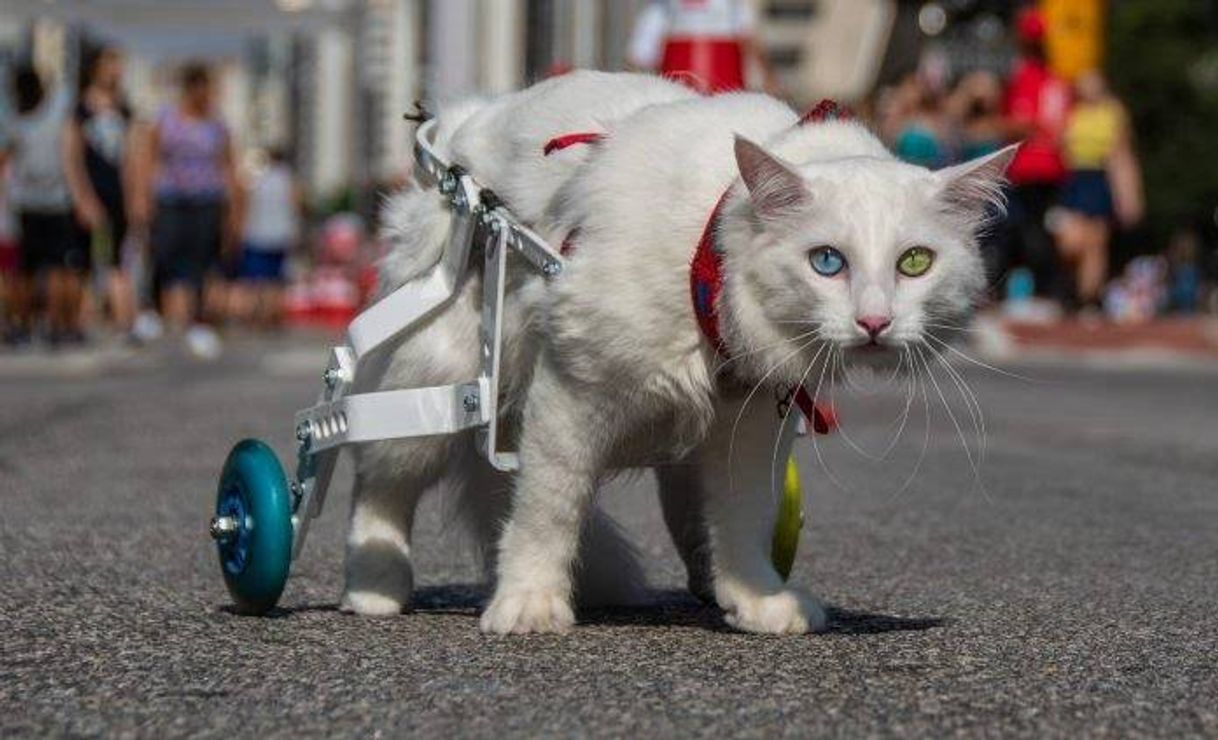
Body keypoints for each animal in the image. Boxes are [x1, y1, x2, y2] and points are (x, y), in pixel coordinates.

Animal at [345, 70, 1018, 637]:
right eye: (827, 261)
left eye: (915, 263)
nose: (874, 322)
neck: (706, 253)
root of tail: (458, 122)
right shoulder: (572, 393)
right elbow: (548, 507)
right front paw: (529, 604)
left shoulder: (750, 422)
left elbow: (743, 520)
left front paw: (756, 601)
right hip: (437, 384)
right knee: (380, 486)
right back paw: (374, 588)